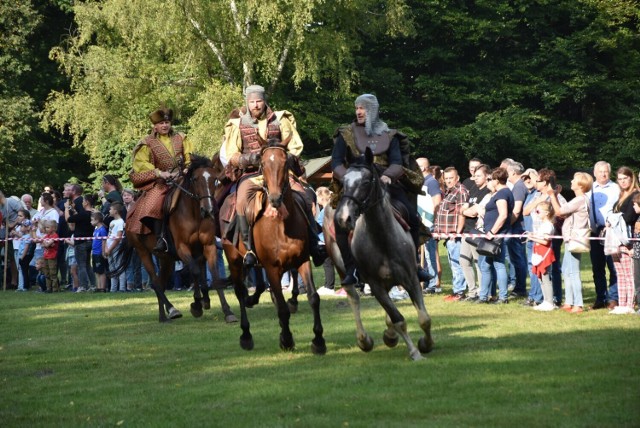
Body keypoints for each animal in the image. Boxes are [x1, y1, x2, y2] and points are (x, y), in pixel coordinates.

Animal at [114, 155, 236, 322]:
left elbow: (213, 275)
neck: (194, 214)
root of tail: (130, 212)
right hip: (142, 252)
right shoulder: (182, 248)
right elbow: (195, 271)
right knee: (155, 282)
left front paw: (226, 310)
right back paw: (171, 310)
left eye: (215, 179)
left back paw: (163, 315)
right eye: (195, 179)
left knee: (160, 282)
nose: (209, 210)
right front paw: (197, 304)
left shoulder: (208, 246)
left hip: (166, 259)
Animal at [222, 141, 328, 354]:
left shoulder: (302, 261)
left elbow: (313, 298)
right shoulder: (271, 268)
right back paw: (246, 335)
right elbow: (282, 306)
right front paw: (286, 339)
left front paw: (318, 340)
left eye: (285, 163)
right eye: (262, 164)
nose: (275, 199)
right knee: (239, 292)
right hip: (234, 259)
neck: (281, 226)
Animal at [324, 148, 436, 362]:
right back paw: (364, 340)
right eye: (345, 181)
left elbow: (424, 318)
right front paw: (415, 352)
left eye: (366, 181)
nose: (344, 218)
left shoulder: (411, 278)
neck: (382, 238)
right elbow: (399, 319)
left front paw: (426, 344)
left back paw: (389, 334)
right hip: (343, 269)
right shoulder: (375, 285)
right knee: (353, 298)